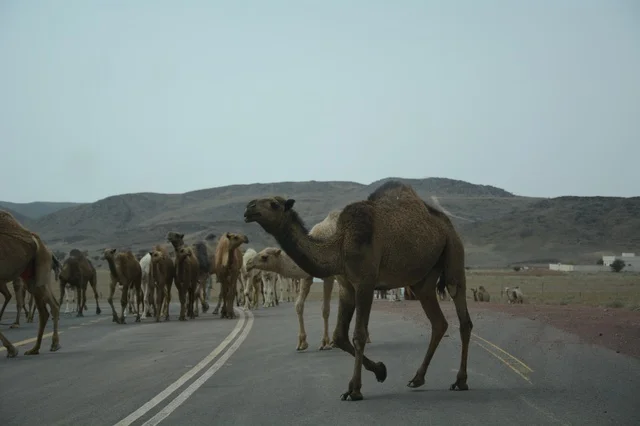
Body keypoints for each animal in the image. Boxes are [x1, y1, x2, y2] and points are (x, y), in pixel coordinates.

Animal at [0, 210, 62, 357]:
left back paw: (54, 344)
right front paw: (12, 349)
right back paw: (34, 348)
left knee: (53, 305)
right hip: (30, 278)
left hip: (42, 263)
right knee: (43, 311)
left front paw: (12, 349)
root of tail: (49, 251)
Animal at [244, 180, 472, 401]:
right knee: (439, 322)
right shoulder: (346, 286)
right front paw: (380, 370)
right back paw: (417, 378)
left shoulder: (365, 283)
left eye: (274, 203)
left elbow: (358, 334)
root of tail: (445, 223)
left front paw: (354, 390)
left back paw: (460, 381)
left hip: (454, 252)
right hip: (423, 279)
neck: (339, 244)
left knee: (462, 314)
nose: (248, 208)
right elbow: (340, 336)